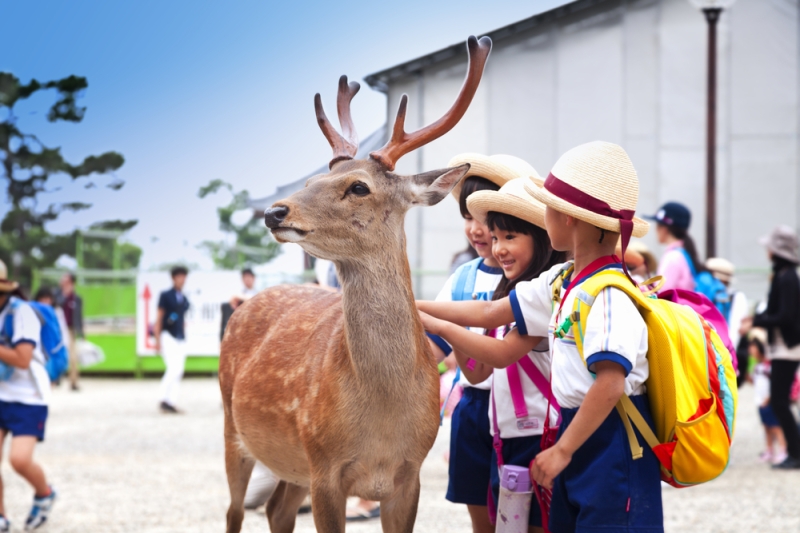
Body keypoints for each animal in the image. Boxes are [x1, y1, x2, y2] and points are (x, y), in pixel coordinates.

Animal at [220, 35, 494, 528]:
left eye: (359, 187)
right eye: (313, 178)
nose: (274, 211)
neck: (382, 421)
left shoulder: (408, 476)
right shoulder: (325, 466)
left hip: (291, 464)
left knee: (276, 509)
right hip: (235, 431)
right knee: (235, 511)